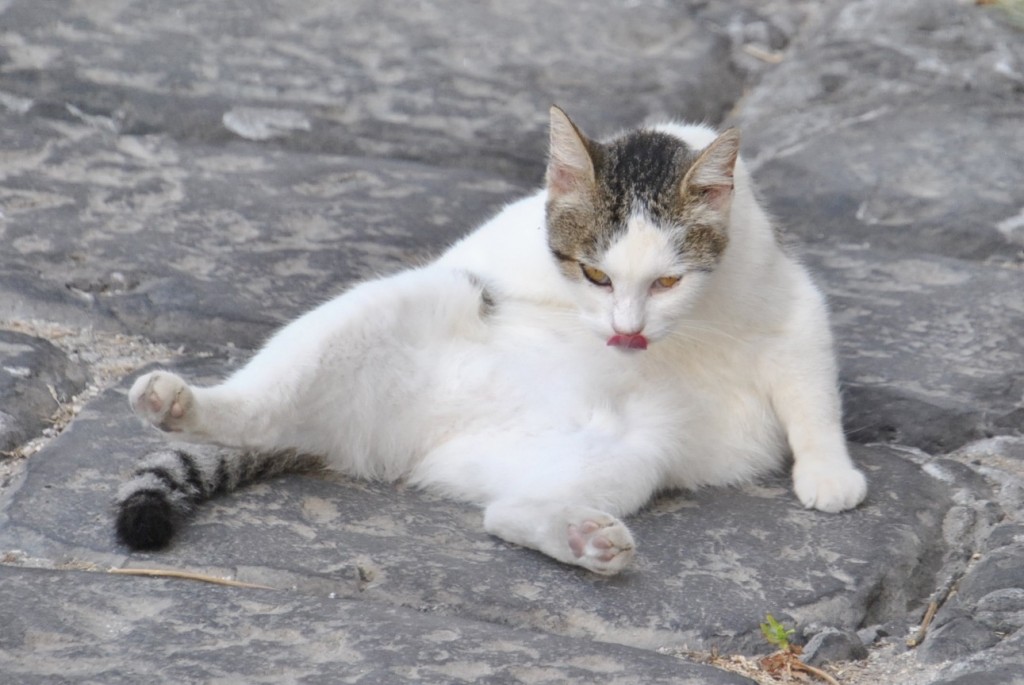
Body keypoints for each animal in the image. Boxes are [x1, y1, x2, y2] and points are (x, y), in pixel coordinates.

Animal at [114, 106, 864, 573]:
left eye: (668, 281)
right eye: (595, 274)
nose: (625, 331)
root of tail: (417, 441)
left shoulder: (793, 306)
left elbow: (812, 397)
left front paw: (827, 471)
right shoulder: (495, 251)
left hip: (627, 456)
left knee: (506, 512)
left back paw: (584, 540)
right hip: (399, 305)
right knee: (257, 406)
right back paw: (179, 403)